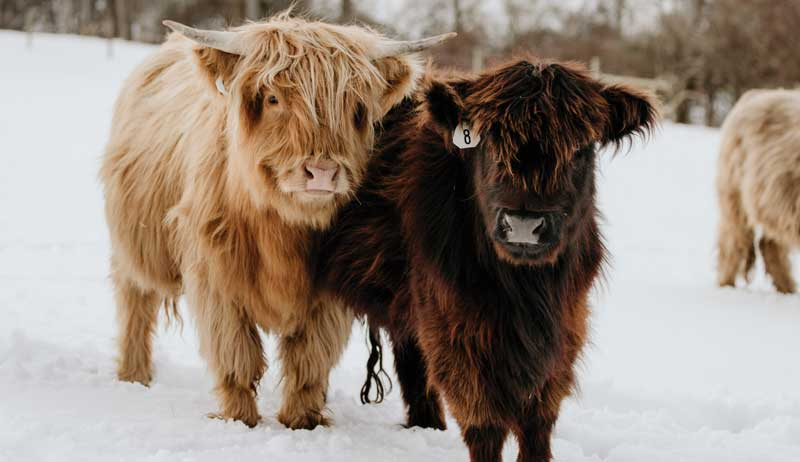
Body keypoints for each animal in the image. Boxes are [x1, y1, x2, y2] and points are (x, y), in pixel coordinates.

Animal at [99, 11, 454, 430]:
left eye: (356, 107)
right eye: (273, 98)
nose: (322, 172)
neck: (281, 231)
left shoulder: (327, 293)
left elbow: (309, 361)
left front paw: (302, 422)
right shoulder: (216, 279)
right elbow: (236, 354)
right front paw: (238, 419)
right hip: (135, 246)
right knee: (135, 303)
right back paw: (134, 375)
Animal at [318, 59, 656, 460]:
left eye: (578, 151)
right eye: (491, 145)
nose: (524, 224)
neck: (524, 290)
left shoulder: (565, 325)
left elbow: (538, 419)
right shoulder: (453, 325)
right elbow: (484, 421)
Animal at [720, 88, 800, 294]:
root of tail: (755, 94)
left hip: (774, 205)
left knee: (769, 245)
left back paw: (787, 288)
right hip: (734, 197)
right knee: (733, 245)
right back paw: (726, 286)